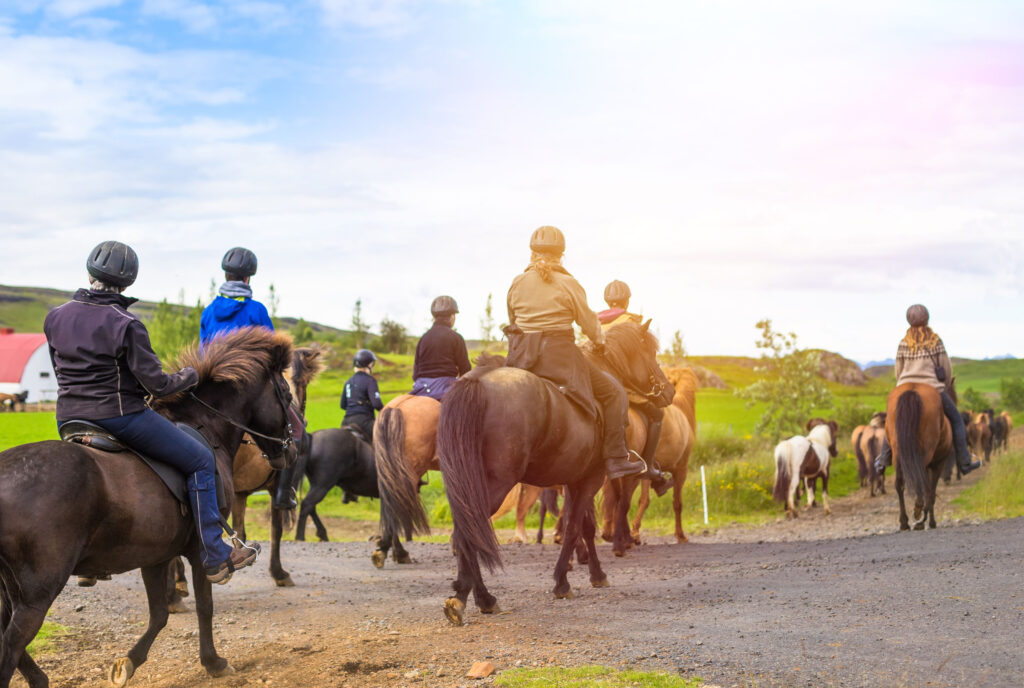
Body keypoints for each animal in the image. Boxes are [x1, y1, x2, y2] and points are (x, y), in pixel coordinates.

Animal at [0, 327, 296, 688]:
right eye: (286, 395)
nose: (294, 449)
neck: (205, 427)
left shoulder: (155, 555)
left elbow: (159, 614)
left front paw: (128, 662)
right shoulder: (198, 550)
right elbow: (204, 605)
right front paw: (213, 662)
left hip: (12, 587)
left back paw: (40, 678)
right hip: (37, 591)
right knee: (10, 645)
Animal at [423, 319, 671, 626]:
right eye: (650, 351)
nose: (668, 391)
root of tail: (477, 380)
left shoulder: (573, 479)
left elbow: (584, 527)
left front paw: (594, 573)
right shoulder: (591, 479)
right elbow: (576, 527)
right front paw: (565, 582)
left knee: (466, 533)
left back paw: (476, 597)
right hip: (492, 486)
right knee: (469, 534)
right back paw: (474, 597)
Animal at [880, 384, 950, 528]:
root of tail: (912, 389)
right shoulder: (938, 464)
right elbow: (931, 492)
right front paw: (931, 521)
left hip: (897, 454)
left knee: (899, 483)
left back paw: (904, 522)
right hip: (925, 454)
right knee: (921, 483)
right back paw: (919, 514)